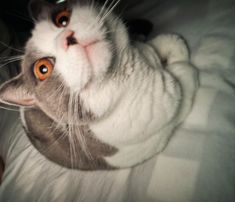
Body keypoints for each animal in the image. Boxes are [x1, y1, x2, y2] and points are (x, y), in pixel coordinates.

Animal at [0, 0, 198, 170]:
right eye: (42, 68)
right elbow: (183, 82)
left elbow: (168, 41)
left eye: (62, 19)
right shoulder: (154, 132)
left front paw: (172, 50)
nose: (67, 37)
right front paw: (182, 66)